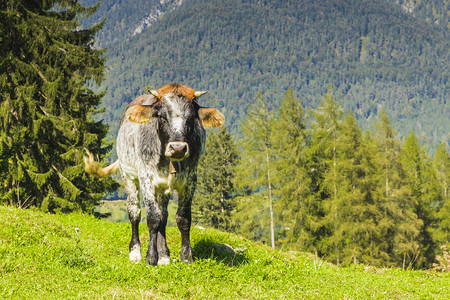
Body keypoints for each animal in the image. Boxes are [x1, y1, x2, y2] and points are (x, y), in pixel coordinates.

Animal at [83, 82, 224, 264]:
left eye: (191, 118)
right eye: (162, 118)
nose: (178, 148)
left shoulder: (191, 179)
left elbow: (182, 218)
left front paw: (186, 256)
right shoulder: (146, 177)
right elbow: (152, 217)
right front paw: (151, 257)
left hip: (163, 187)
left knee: (163, 215)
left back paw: (164, 255)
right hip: (128, 175)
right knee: (134, 211)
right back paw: (135, 252)